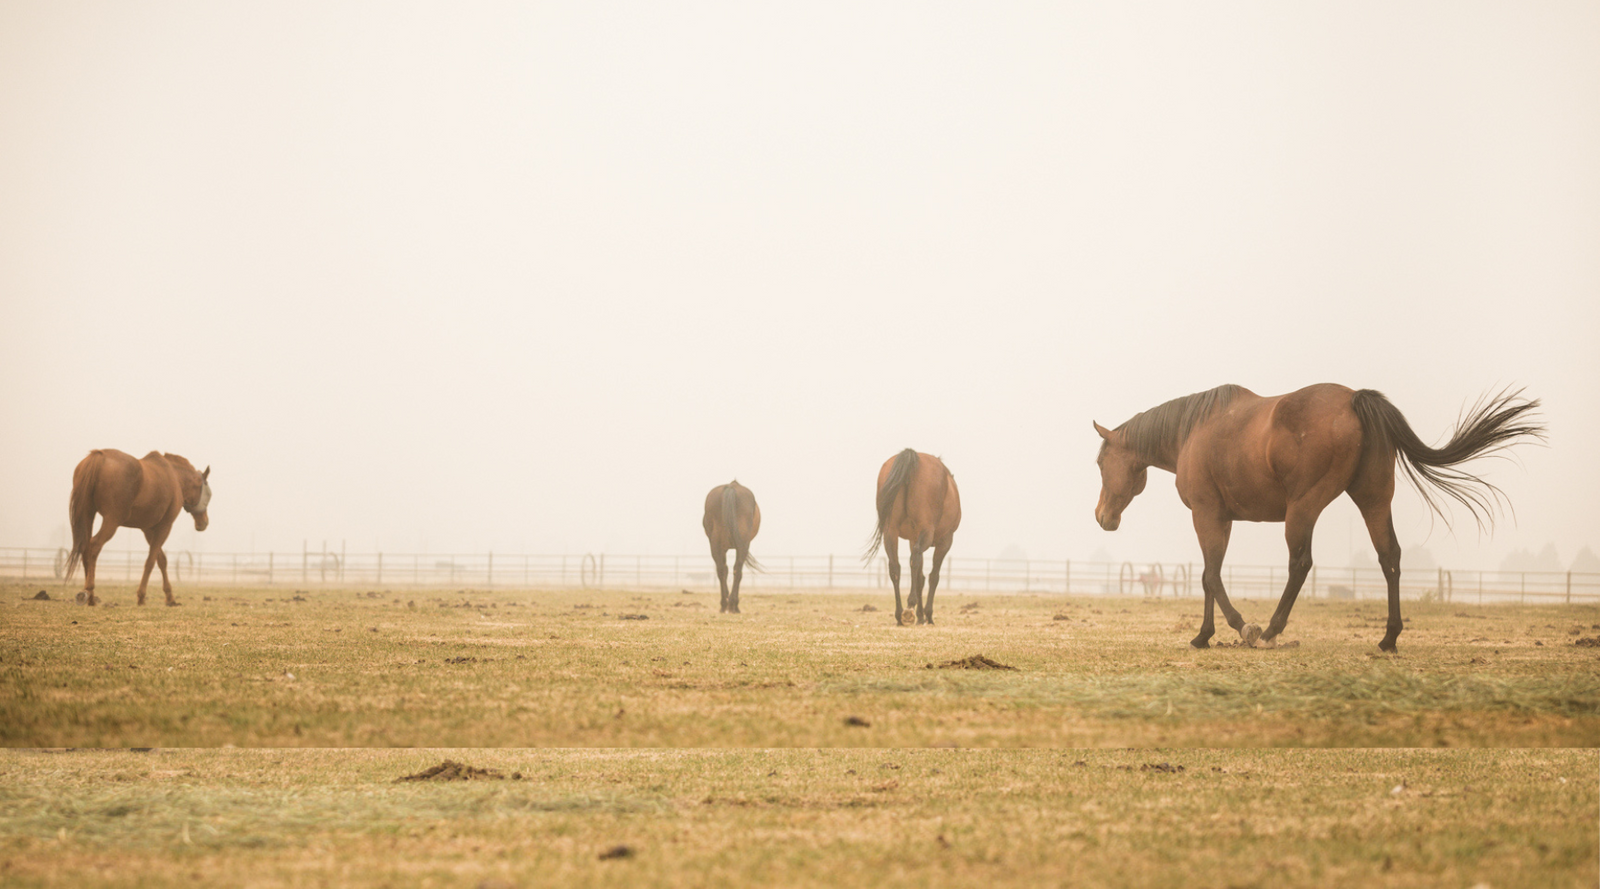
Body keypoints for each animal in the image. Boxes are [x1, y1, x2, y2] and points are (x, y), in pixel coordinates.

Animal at [66, 449, 212, 606]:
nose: (204, 522)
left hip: (88, 514)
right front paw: (141, 596)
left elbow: (161, 560)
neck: (174, 476)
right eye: (209, 494)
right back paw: (90, 591)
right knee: (94, 545)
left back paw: (90, 596)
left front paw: (169, 597)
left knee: (85, 548)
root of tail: (100, 456)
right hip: (111, 521)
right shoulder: (164, 527)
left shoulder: (148, 530)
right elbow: (150, 561)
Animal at [703, 480, 762, 614]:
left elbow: (724, 569)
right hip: (742, 546)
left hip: (715, 545)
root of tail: (731, 487)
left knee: (721, 570)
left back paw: (724, 604)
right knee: (738, 570)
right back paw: (733, 605)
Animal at [864, 449, 961, 625]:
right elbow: (933, 576)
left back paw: (899, 614)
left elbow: (920, 578)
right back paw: (909, 607)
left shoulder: (912, 538)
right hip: (927, 534)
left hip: (890, 532)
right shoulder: (945, 541)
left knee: (895, 567)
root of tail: (912, 456)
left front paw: (921, 616)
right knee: (915, 560)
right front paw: (928, 615)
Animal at [1093, 384, 1541, 651]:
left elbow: (1211, 577)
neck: (1192, 431)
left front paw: (1241, 627)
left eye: (1100, 462)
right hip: (1373, 500)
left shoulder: (1207, 514)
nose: (1102, 517)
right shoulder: (1221, 518)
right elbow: (1208, 576)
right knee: (1390, 558)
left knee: (1301, 564)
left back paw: (1271, 630)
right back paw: (1388, 637)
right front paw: (1204, 635)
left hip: (1303, 509)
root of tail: (1355, 399)